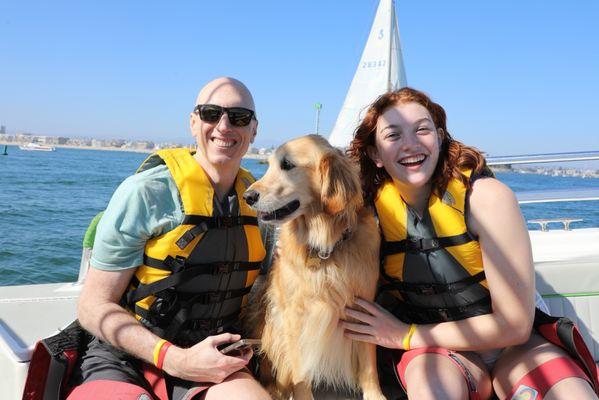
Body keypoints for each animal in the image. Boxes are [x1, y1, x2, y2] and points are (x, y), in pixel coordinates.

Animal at [243, 135, 384, 400]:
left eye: (287, 165)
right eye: (268, 165)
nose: (248, 196)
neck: (324, 246)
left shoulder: (364, 309)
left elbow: (370, 365)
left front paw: (375, 396)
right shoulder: (293, 317)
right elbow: (300, 374)